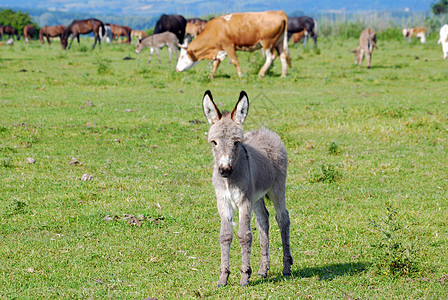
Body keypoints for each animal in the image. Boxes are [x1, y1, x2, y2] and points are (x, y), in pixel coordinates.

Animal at [201, 90, 292, 288]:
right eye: (214, 142)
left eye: (236, 142)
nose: (224, 170)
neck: (230, 179)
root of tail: (265, 131)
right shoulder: (223, 201)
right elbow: (225, 235)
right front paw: (223, 277)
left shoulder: (244, 201)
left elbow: (244, 235)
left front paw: (244, 276)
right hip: (257, 197)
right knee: (263, 220)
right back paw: (263, 269)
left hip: (276, 189)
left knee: (283, 219)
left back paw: (286, 268)